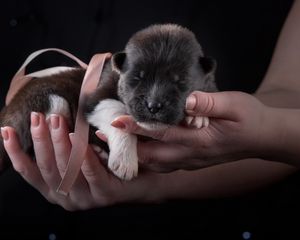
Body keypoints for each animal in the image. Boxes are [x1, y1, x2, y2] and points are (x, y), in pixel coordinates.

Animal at [0, 23, 217, 180]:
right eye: (137, 78)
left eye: (180, 82)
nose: (153, 107)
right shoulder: (96, 100)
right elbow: (118, 117)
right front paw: (125, 161)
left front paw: (198, 117)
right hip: (48, 102)